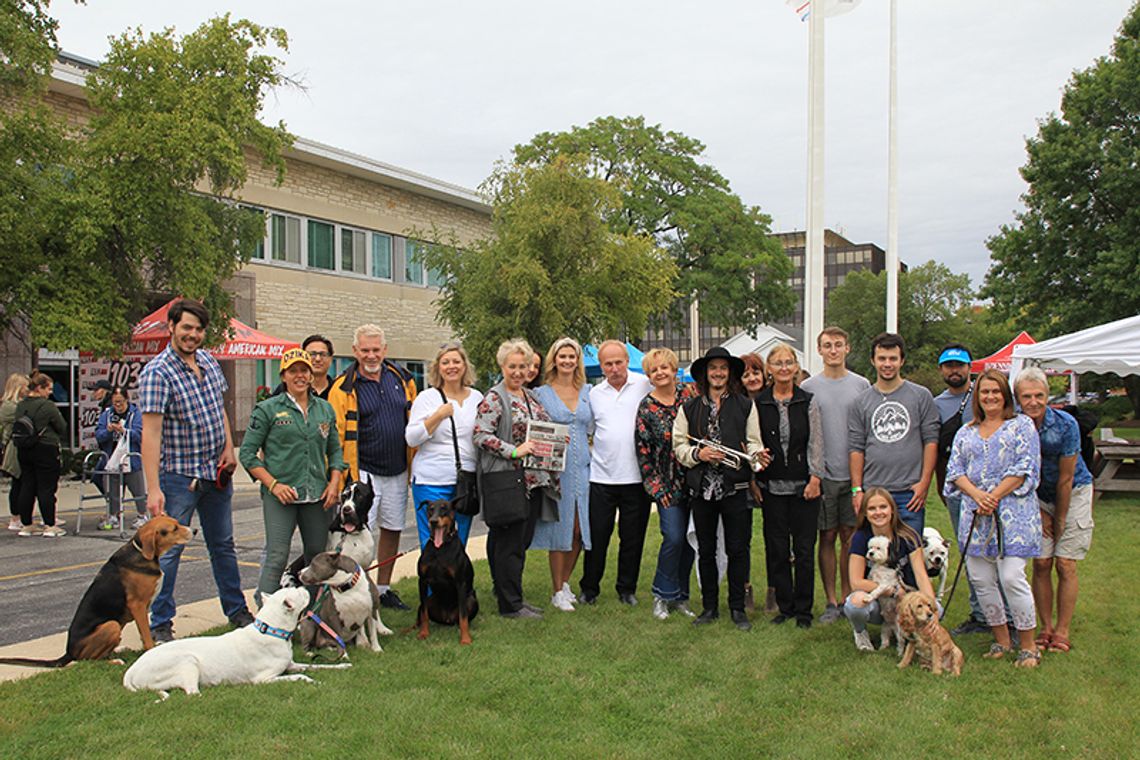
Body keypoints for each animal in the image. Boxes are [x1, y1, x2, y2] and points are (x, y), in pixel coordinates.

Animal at [0, 515, 191, 669]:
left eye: (177, 523)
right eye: (174, 529)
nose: (194, 530)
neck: (142, 553)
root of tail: (69, 652)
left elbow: (145, 635)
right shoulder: (137, 605)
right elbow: (146, 635)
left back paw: (119, 649)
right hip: (111, 625)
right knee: (88, 660)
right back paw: (114, 660)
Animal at [122, 587, 348, 701]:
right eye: (299, 593)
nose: (302, 583)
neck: (272, 629)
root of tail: (131, 671)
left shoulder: (291, 664)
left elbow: (316, 665)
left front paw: (342, 664)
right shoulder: (264, 679)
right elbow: (301, 676)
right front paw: (314, 682)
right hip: (187, 661)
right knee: (193, 693)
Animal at [414, 501, 476, 647]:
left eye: (444, 509)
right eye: (430, 509)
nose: (433, 521)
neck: (440, 548)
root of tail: (446, 619)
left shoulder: (460, 583)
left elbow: (463, 616)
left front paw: (465, 639)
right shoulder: (422, 581)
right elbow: (424, 614)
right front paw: (423, 633)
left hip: (471, 599)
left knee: (462, 617)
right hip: (429, 600)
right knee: (421, 612)